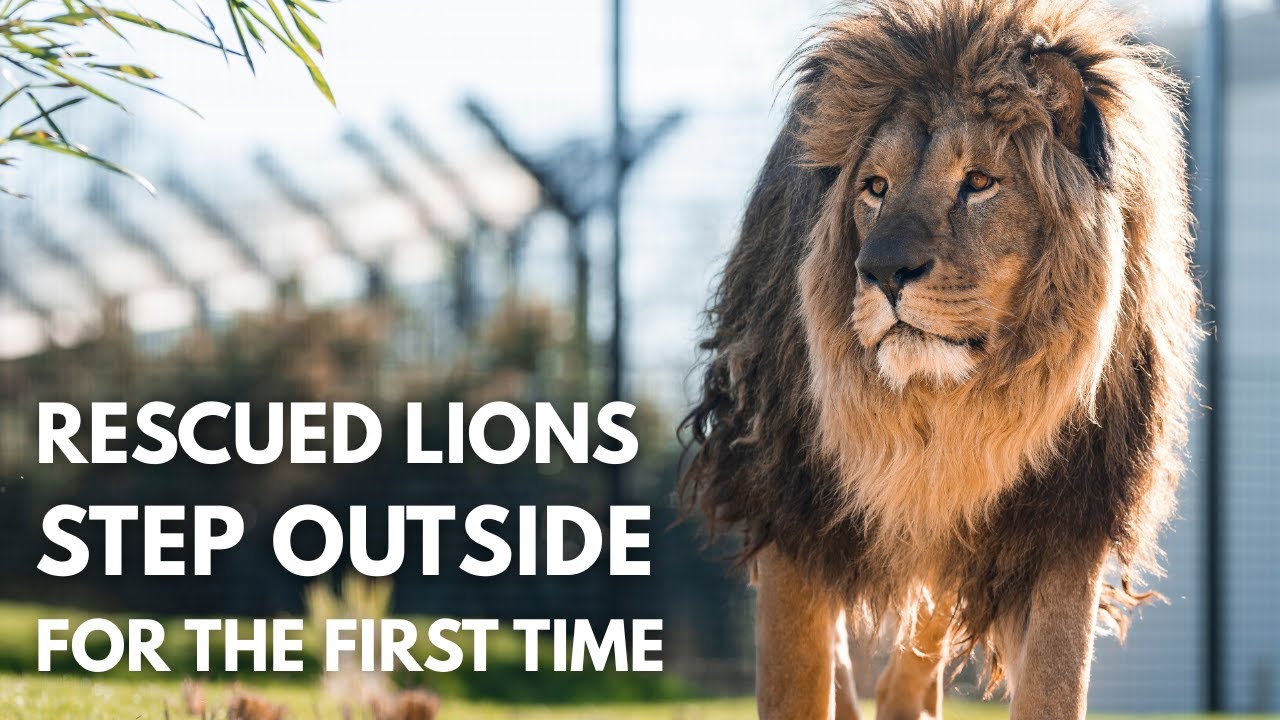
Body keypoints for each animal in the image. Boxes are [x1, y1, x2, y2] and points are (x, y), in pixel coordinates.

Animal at [679, 1, 1198, 718]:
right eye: (874, 187)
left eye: (978, 182)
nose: (879, 272)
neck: (952, 409)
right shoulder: (790, 501)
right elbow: (795, 680)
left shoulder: (1069, 518)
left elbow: (1054, 683)